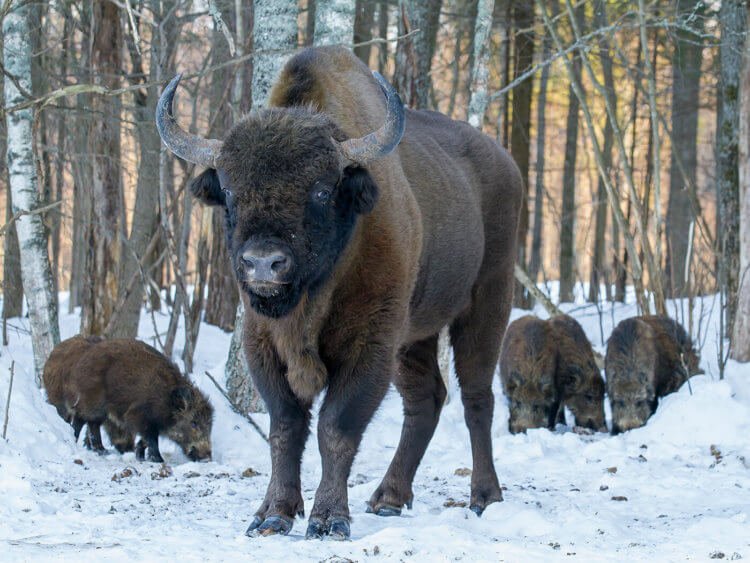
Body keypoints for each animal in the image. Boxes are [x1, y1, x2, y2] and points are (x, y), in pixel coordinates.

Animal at [43, 334, 214, 462]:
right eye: (194, 423)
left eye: (209, 424)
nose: (207, 457)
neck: (166, 401)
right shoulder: (139, 416)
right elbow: (151, 438)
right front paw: (158, 460)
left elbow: (146, 439)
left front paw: (140, 456)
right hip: (92, 402)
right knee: (81, 419)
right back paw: (78, 442)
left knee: (92, 424)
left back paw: (102, 450)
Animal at [157, 46, 524, 540]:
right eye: (230, 192)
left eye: (320, 190)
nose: (263, 263)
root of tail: (506, 163)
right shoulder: (262, 344)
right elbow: (286, 427)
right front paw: (272, 514)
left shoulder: (370, 345)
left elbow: (336, 427)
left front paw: (329, 519)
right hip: (415, 334)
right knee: (426, 400)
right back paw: (388, 498)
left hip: (487, 300)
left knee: (476, 398)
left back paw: (485, 496)